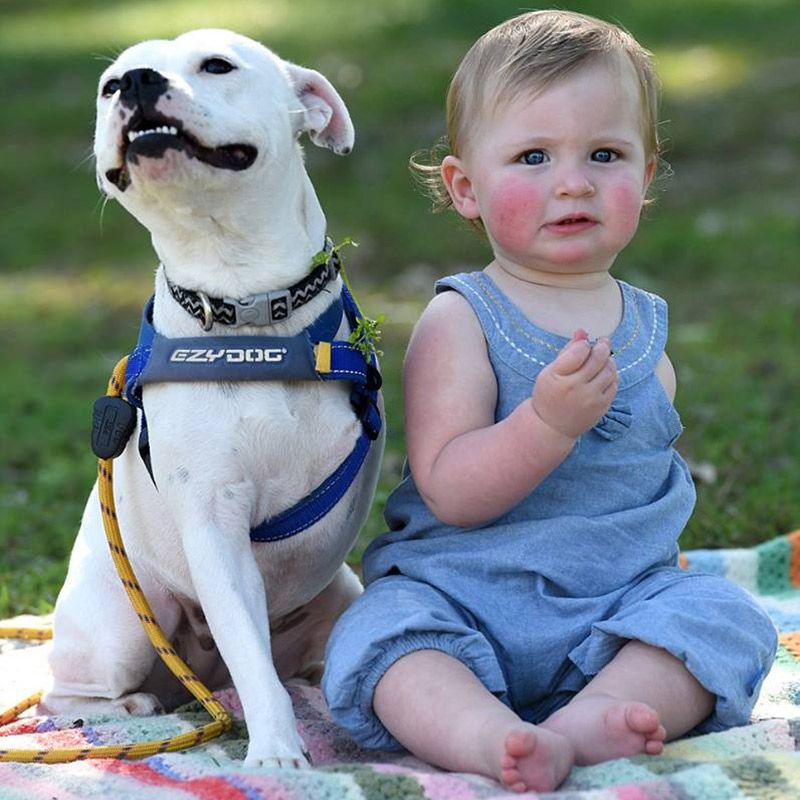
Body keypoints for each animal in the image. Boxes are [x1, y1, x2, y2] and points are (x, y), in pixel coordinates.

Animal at [40, 29, 384, 768]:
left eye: (218, 65)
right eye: (109, 85)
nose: (137, 81)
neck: (246, 304)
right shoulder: (215, 526)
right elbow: (253, 660)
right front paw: (278, 755)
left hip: (339, 590)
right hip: (121, 626)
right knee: (69, 694)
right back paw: (124, 710)